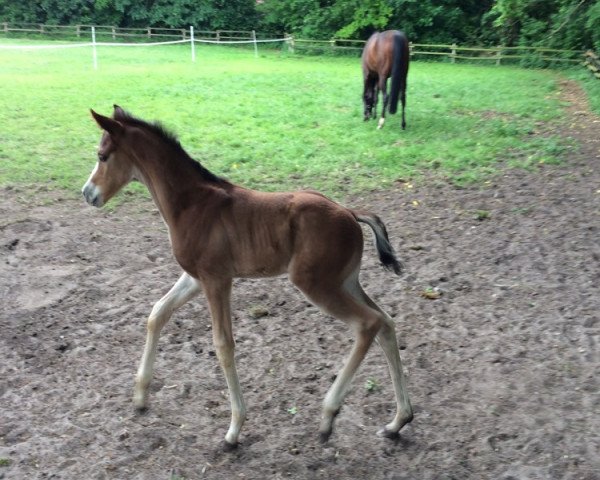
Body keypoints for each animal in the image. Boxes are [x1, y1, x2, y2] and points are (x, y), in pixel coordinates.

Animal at [82, 106, 414, 450]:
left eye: (102, 156)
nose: (87, 194)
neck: (191, 203)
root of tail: (349, 212)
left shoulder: (216, 280)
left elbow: (223, 344)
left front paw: (234, 429)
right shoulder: (196, 278)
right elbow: (157, 313)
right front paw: (139, 395)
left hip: (317, 284)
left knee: (368, 323)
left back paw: (328, 416)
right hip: (345, 281)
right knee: (385, 322)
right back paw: (397, 421)